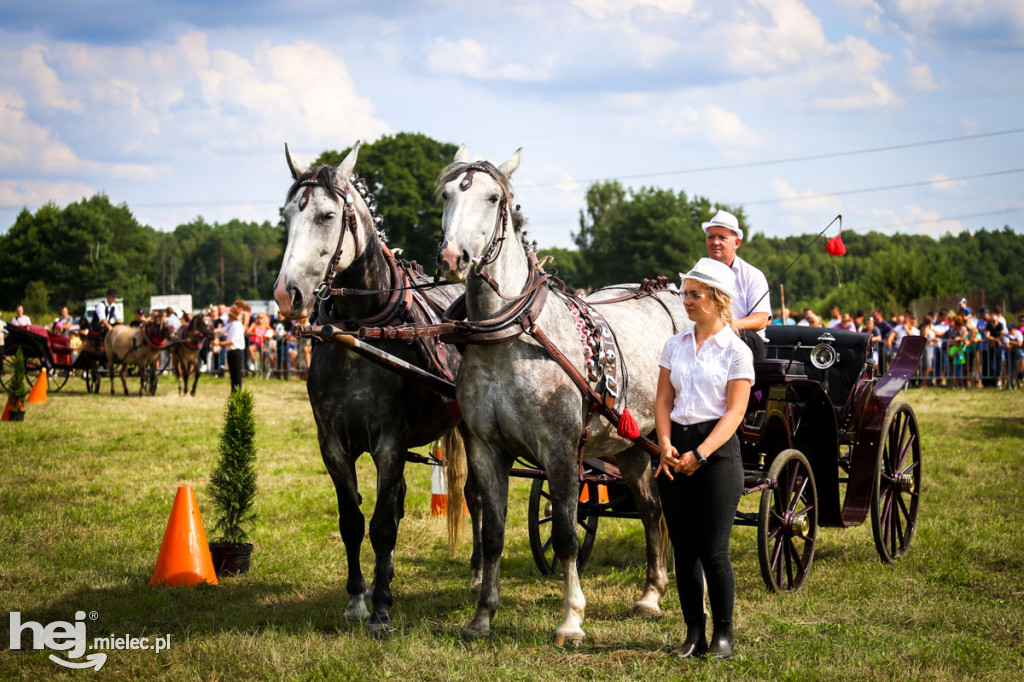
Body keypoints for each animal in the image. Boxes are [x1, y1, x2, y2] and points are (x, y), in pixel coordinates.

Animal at [270, 140, 466, 634]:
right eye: (287, 215)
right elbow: (353, 521)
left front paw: (379, 613)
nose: (286, 295)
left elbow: (380, 526)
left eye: (325, 215)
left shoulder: (389, 443)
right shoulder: (333, 444)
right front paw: (360, 598)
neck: (361, 334)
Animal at [432, 144, 688, 643]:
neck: (510, 338)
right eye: (449, 193)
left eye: (493, 197)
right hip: (633, 445)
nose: (453, 256)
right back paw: (651, 594)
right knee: (651, 509)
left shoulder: (561, 450)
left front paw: (571, 619)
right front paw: (481, 616)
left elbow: (568, 534)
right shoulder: (486, 449)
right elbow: (492, 534)